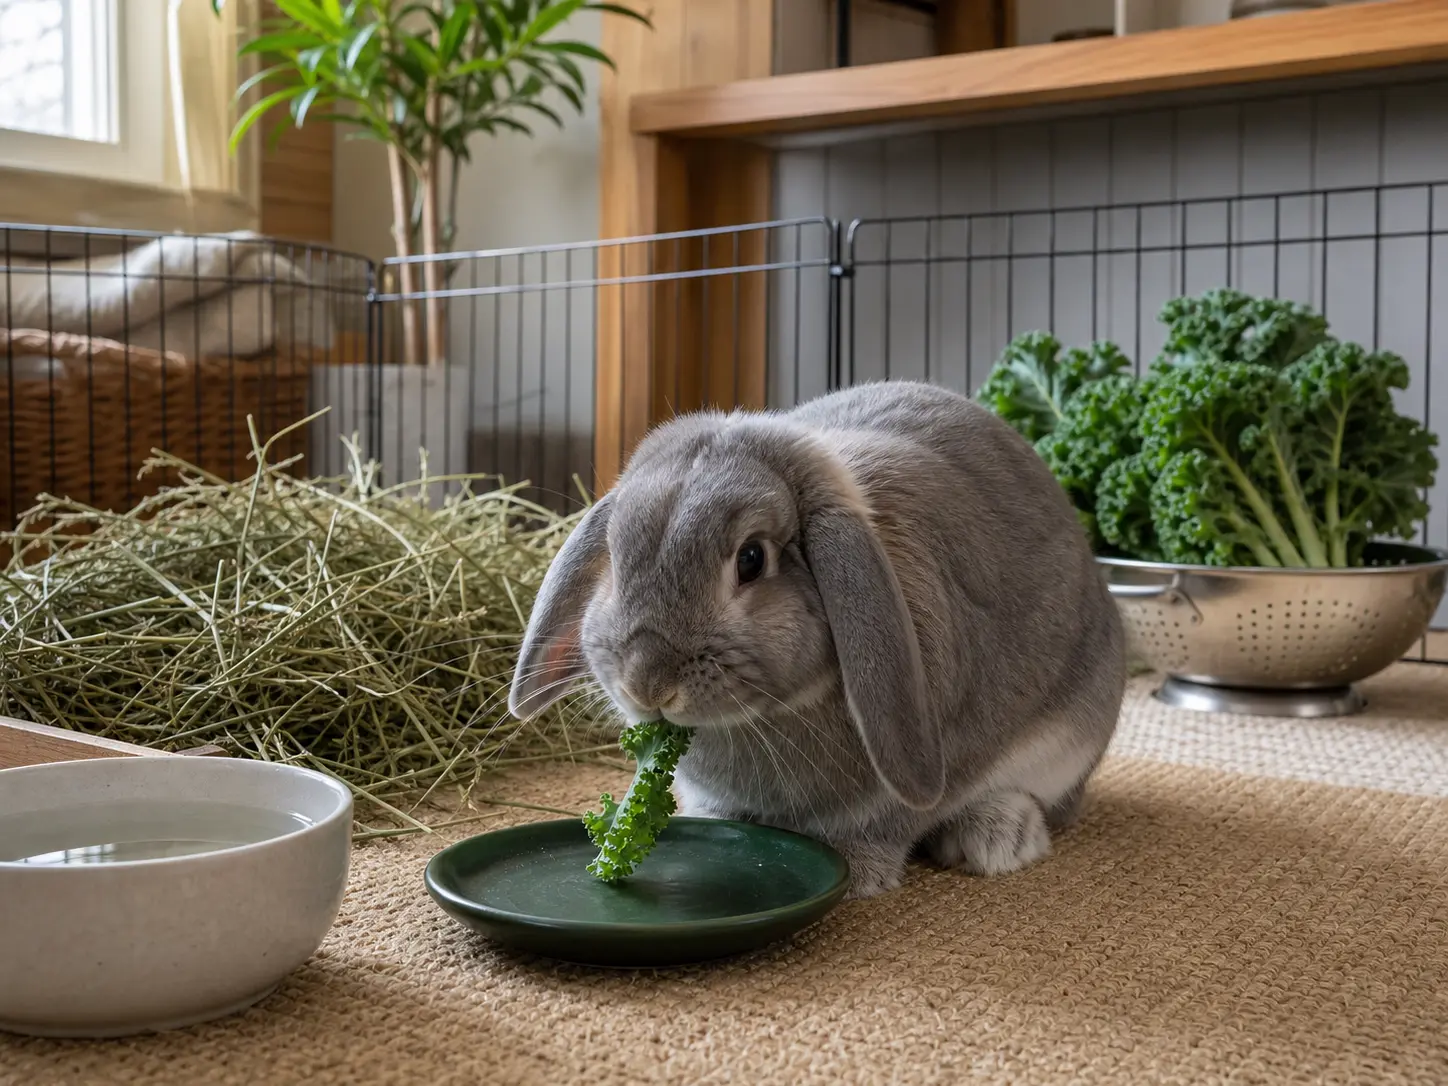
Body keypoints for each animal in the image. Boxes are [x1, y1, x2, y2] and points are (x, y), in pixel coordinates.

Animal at [508, 380, 1126, 899]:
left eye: (751, 559)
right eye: (613, 557)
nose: (647, 682)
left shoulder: (924, 770)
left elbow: (889, 822)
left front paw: (857, 873)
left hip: (1072, 740)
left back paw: (996, 838)